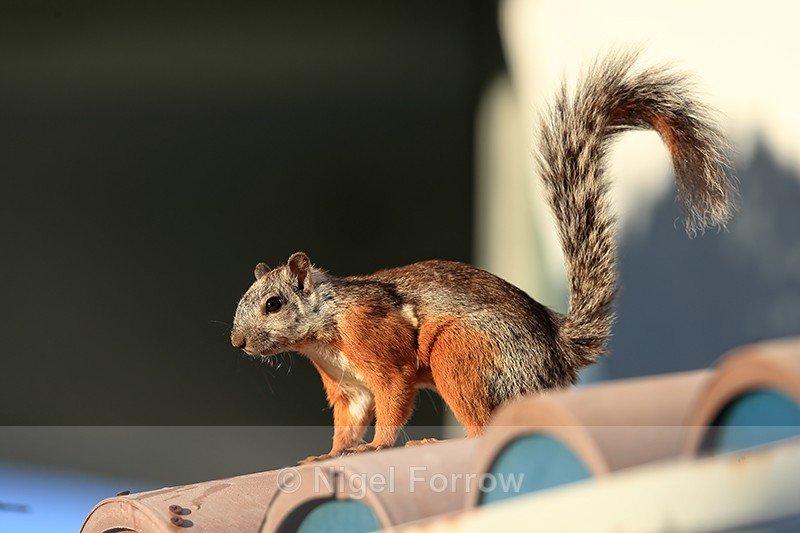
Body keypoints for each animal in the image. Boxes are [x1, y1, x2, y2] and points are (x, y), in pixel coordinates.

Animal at [230, 50, 735, 463]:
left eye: (274, 303)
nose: (238, 343)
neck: (325, 327)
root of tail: (557, 354)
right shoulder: (346, 386)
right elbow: (348, 422)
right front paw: (330, 454)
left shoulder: (378, 342)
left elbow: (392, 396)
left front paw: (376, 445)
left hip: (462, 354)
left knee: (483, 428)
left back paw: (438, 441)